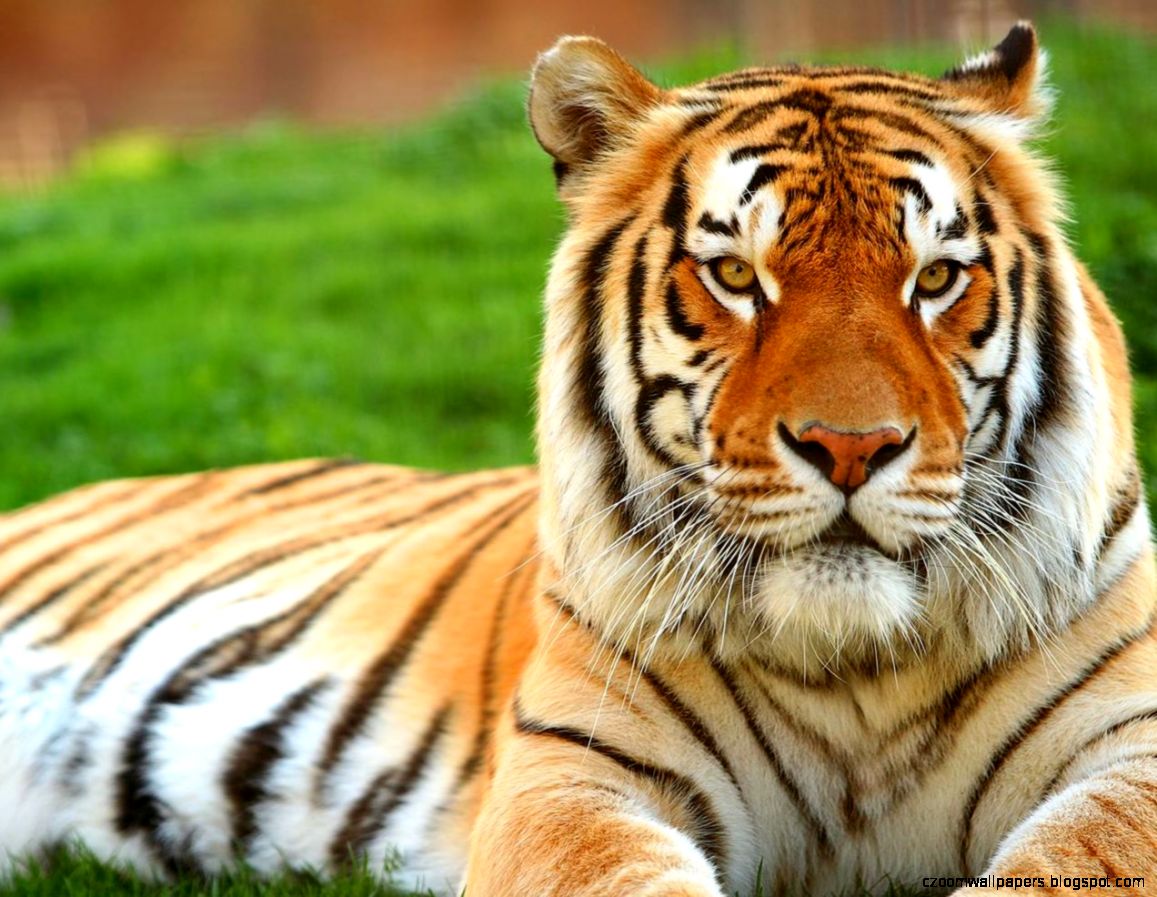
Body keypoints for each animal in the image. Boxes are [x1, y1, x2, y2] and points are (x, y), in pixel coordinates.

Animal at [0, 20, 1154, 897]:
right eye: (735, 275)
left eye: (934, 278)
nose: (849, 447)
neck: (854, 677)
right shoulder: (572, 778)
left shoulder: (1132, 754)